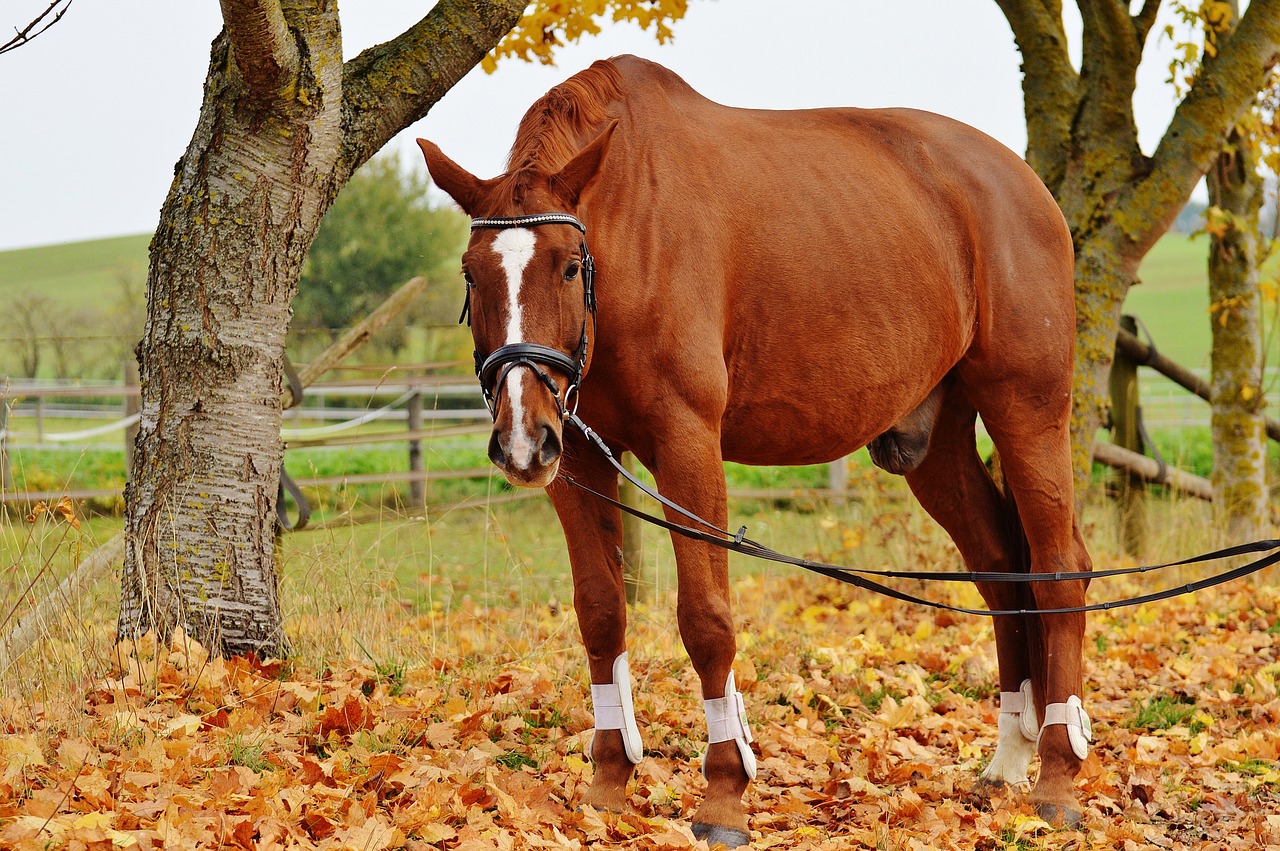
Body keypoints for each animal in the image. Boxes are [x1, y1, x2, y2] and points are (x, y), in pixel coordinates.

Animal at [417, 56, 1090, 844]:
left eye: (566, 266)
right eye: (472, 273)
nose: (522, 438)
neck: (630, 224)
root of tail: (1023, 184)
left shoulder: (686, 442)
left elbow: (706, 620)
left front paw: (724, 793)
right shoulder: (576, 457)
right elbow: (602, 612)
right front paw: (609, 781)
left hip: (1028, 410)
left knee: (1058, 571)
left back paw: (1058, 773)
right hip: (932, 448)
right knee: (1002, 571)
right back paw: (1009, 757)